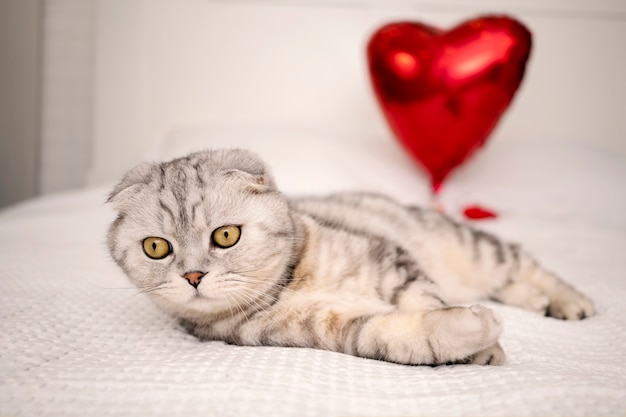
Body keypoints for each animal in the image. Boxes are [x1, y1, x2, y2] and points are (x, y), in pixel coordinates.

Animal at [108, 149, 596, 364]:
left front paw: (485, 348)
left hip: (473, 250)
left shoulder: (393, 262)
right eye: (157, 247)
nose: (193, 276)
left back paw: (570, 302)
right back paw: (538, 303)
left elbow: (426, 301)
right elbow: (398, 335)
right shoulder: (325, 330)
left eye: (225, 236)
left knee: (522, 265)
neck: (292, 283)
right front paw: (472, 338)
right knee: (509, 285)